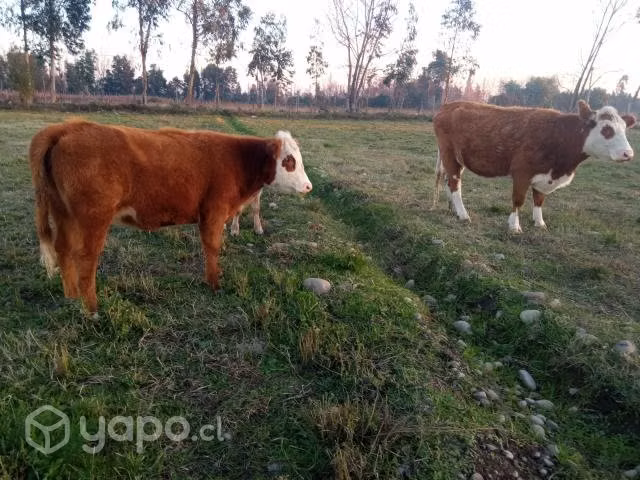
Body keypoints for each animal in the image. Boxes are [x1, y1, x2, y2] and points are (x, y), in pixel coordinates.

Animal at [29, 121, 312, 315]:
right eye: (289, 161)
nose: (309, 187)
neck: (237, 160)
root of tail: (67, 127)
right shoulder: (213, 212)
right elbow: (212, 247)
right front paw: (214, 284)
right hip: (92, 219)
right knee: (86, 260)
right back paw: (92, 310)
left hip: (63, 213)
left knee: (63, 250)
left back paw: (70, 296)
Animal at [432, 100, 636, 232]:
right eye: (607, 129)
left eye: (625, 129)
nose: (629, 154)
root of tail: (449, 104)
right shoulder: (522, 172)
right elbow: (518, 200)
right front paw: (514, 225)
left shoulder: (545, 177)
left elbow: (539, 200)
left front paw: (540, 223)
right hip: (449, 154)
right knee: (454, 183)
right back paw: (463, 214)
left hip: (457, 159)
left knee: (449, 181)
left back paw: (453, 208)